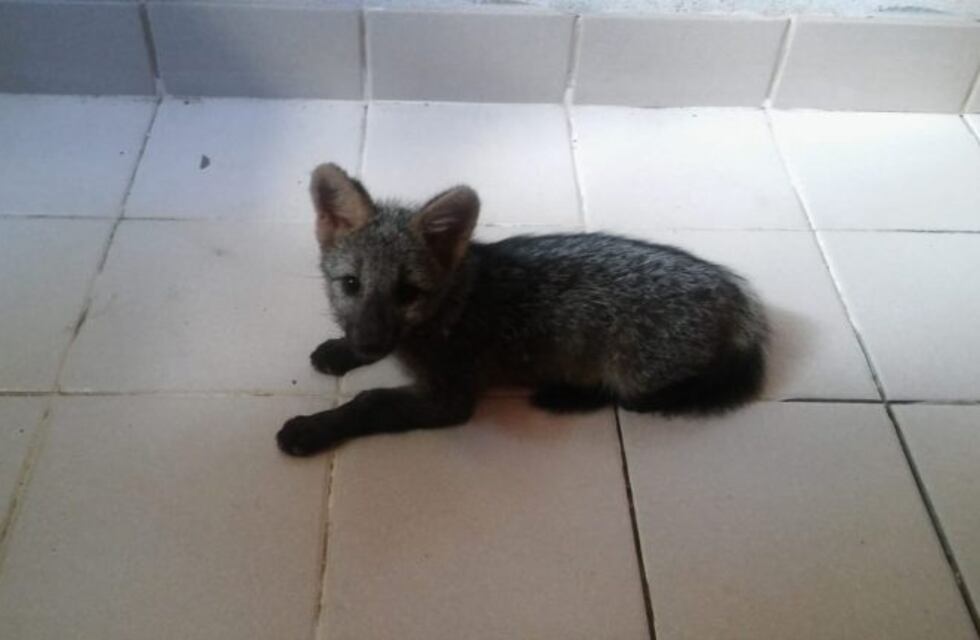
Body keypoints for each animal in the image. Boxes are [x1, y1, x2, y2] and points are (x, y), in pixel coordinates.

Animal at [277, 163, 769, 456]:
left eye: (407, 293)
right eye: (351, 285)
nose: (369, 342)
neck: (454, 302)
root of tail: (737, 294)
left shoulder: (450, 397)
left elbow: (371, 402)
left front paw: (313, 429)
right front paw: (341, 350)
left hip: (633, 372)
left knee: (631, 398)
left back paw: (567, 395)